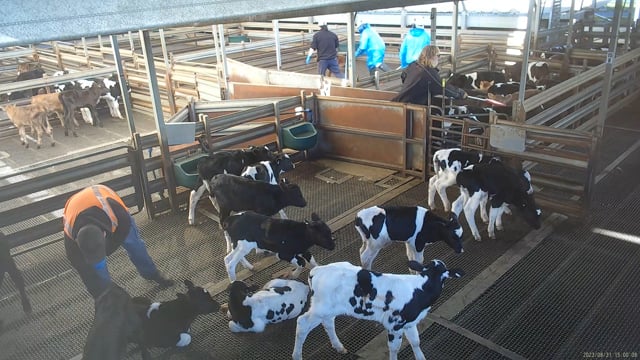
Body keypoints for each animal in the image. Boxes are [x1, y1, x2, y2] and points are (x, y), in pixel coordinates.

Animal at [294, 258, 464, 360]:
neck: (420, 289)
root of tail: (317, 270)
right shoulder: (394, 325)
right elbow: (395, 348)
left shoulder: (410, 322)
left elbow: (415, 341)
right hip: (320, 309)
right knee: (302, 323)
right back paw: (297, 356)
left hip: (329, 309)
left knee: (328, 322)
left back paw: (339, 347)